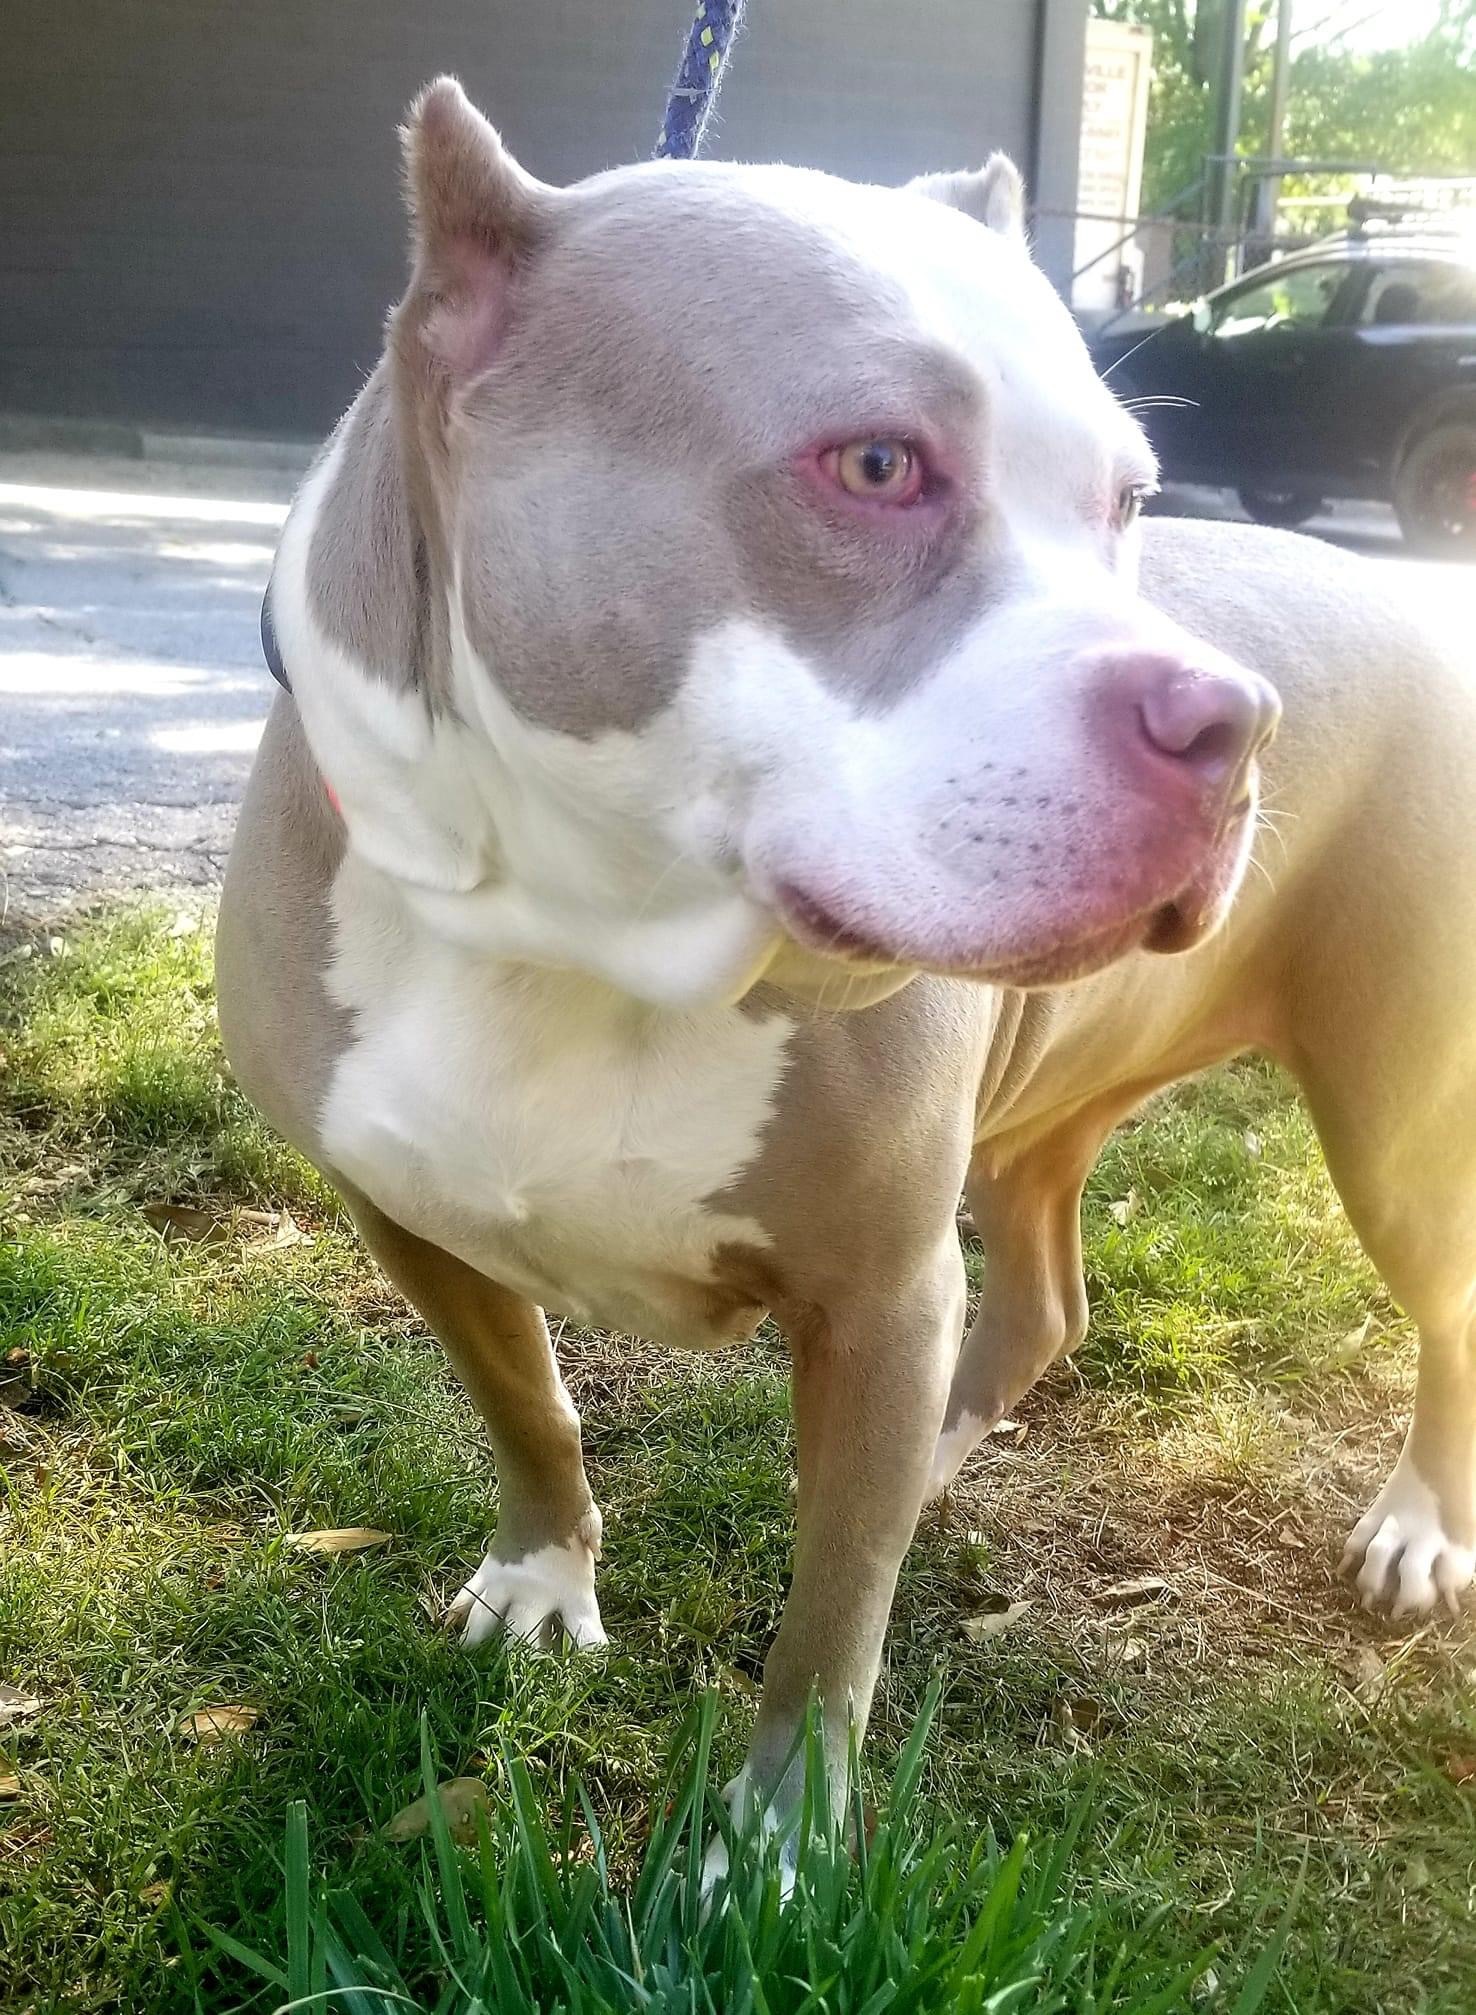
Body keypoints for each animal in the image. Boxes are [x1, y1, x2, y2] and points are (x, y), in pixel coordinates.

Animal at [218, 78, 1473, 1837]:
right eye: (876, 463)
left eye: (1130, 501)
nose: (1237, 725)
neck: (585, 935)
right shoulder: (399, 1209)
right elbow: (524, 1398)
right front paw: (543, 1577)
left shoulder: (880, 1284)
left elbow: (831, 1615)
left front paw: (775, 1842)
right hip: (1043, 1105)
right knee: (1037, 1302)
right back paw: (936, 1454)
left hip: (1398, 1118)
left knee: (1446, 1301)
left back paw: (1419, 1519)